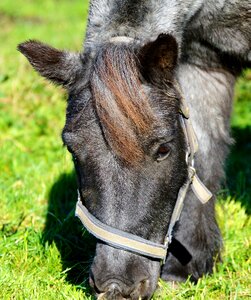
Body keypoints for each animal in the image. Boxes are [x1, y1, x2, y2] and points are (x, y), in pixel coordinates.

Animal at [18, 0, 250, 298]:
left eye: (163, 149)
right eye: (71, 148)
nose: (116, 286)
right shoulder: (206, 63)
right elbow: (205, 156)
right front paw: (186, 268)